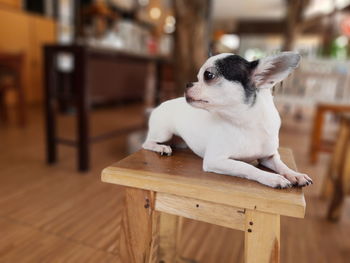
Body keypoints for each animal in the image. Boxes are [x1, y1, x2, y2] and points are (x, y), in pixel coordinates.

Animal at [142, 51, 312, 189]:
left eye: (208, 75)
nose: (188, 84)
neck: (246, 123)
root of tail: (159, 105)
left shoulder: (269, 156)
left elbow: (281, 164)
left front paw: (295, 174)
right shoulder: (215, 160)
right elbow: (247, 167)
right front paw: (273, 178)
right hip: (163, 133)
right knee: (147, 143)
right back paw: (161, 148)